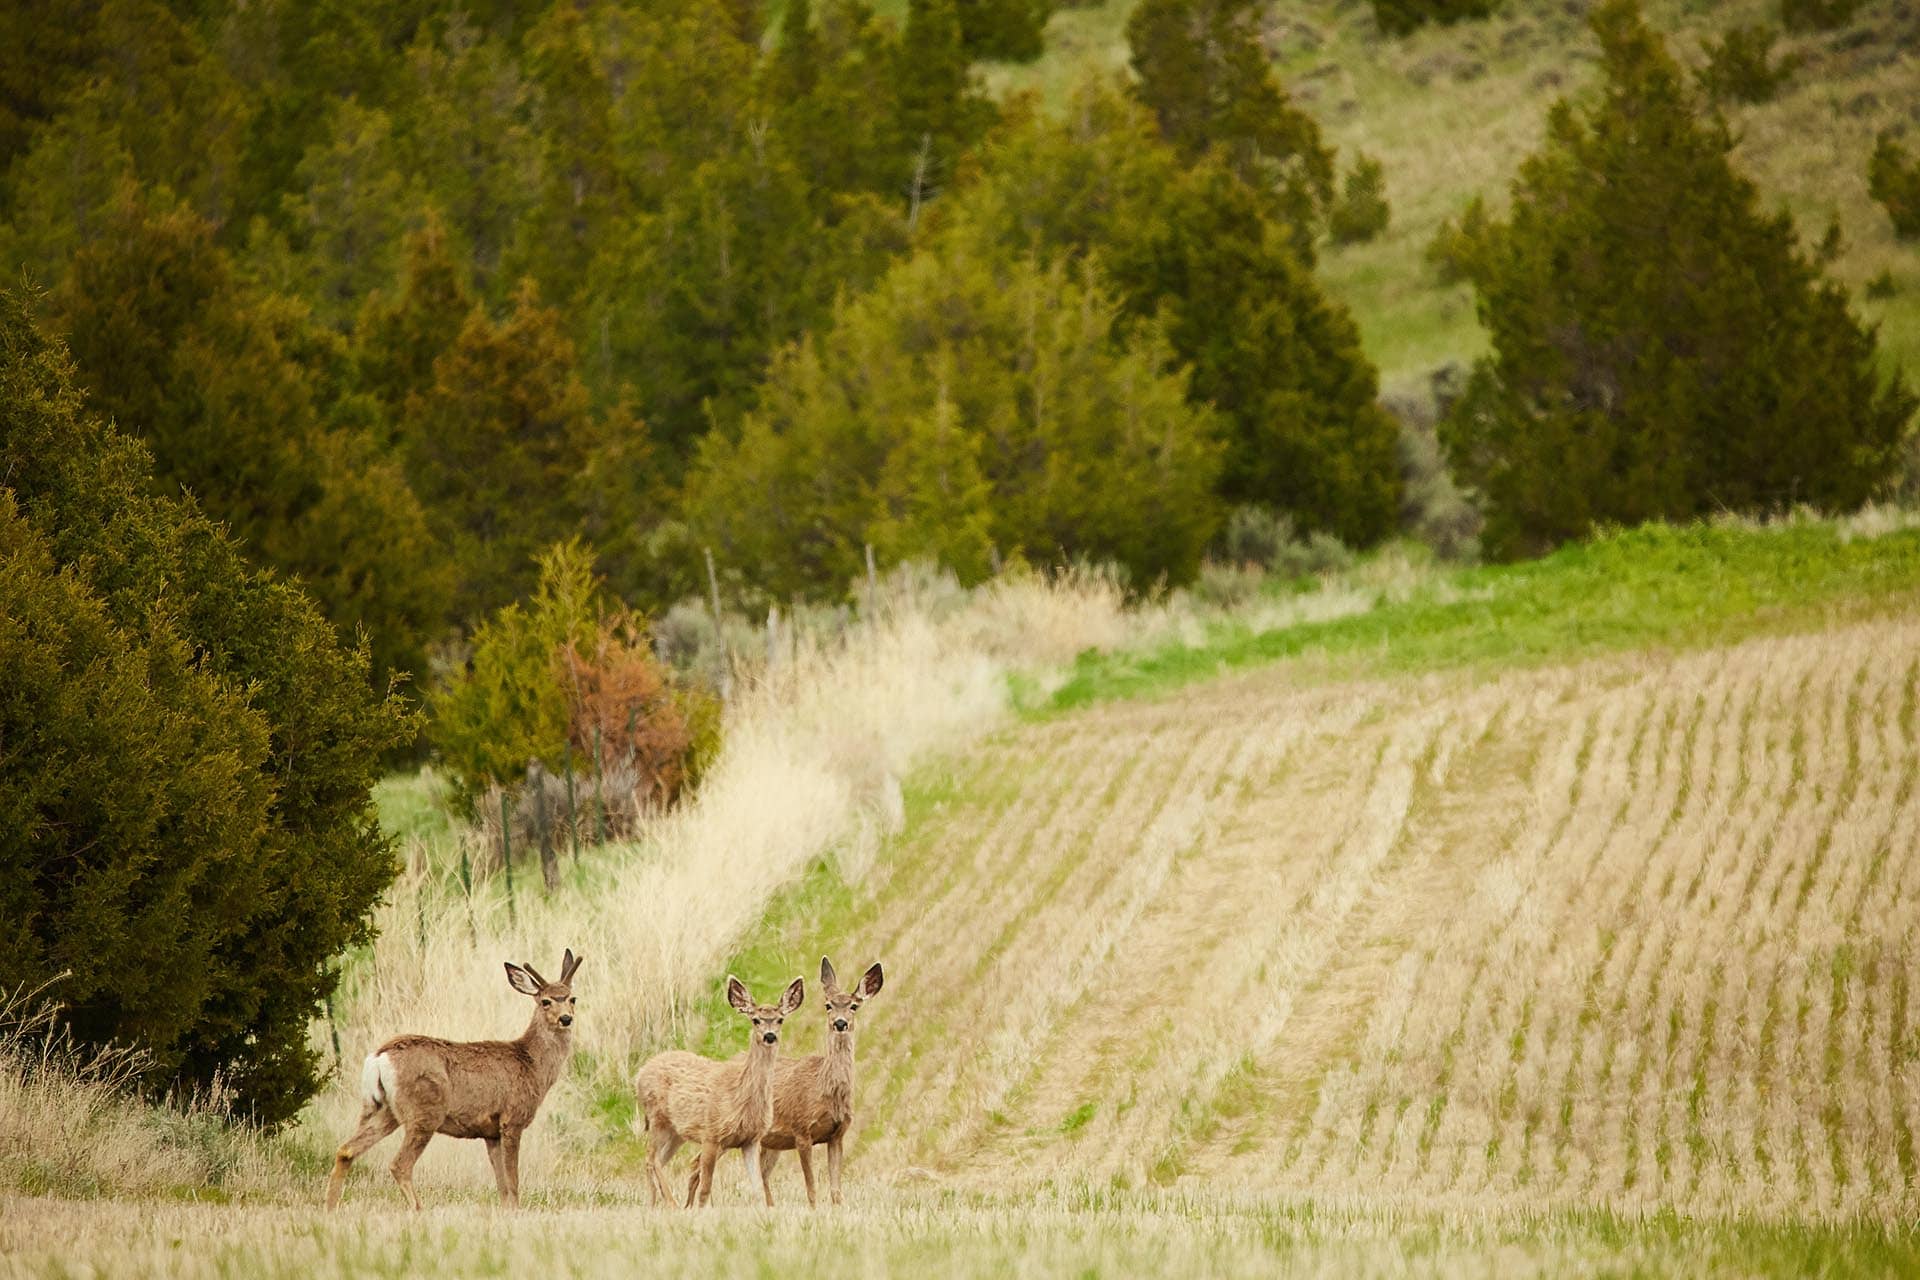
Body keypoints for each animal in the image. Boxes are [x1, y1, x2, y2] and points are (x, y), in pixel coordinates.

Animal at [324, 949, 582, 1211]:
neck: (532, 1065)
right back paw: (418, 1209)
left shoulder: (491, 1132)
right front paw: (516, 1212)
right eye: (546, 1001)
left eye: (572, 999)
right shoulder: (512, 1119)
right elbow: (513, 1182)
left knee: (346, 1150)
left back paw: (330, 1207)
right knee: (399, 1165)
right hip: (424, 1111)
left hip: (382, 1109)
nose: (566, 1019)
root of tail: (379, 1057)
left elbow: (502, 1186)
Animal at [635, 973, 804, 1208]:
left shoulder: (751, 1140)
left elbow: (758, 1189)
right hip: (657, 1117)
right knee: (651, 1159)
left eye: (780, 1019)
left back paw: (653, 1205)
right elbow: (705, 1189)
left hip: (676, 1131)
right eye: (756, 1020)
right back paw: (672, 1204)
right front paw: (699, 1210)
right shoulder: (710, 1134)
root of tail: (640, 1074)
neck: (740, 1096)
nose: (769, 1036)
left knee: (654, 1160)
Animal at [709, 956, 883, 1208]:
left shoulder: (837, 1134)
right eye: (828, 1005)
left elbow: (836, 1191)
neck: (824, 1089)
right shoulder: (801, 1129)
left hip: (770, 1141)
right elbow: (811, 1188)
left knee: (763, 1175)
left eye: (853, 1006)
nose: (840, 1023)